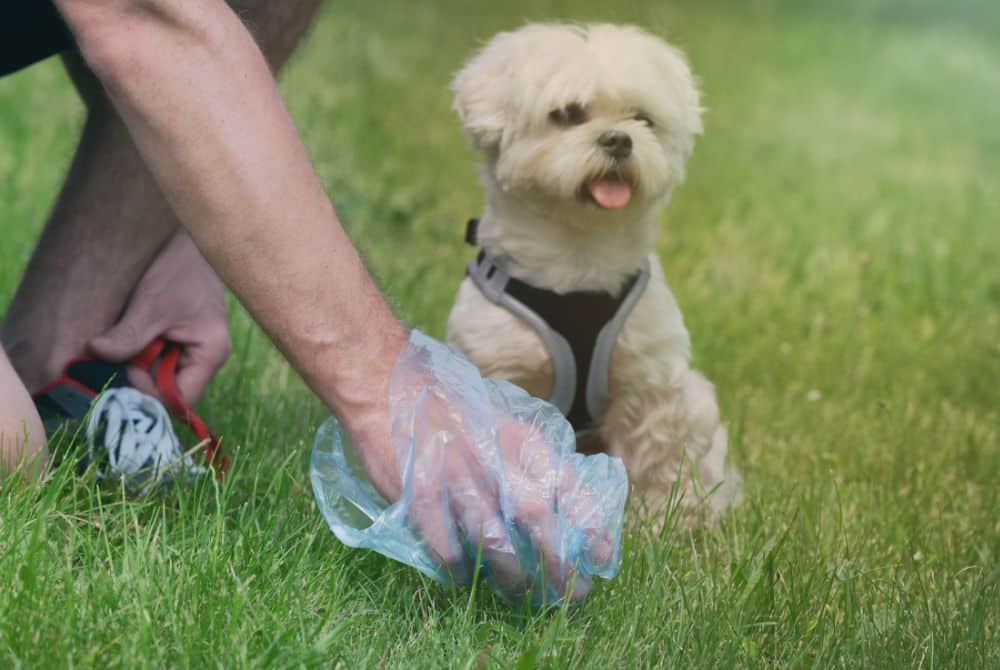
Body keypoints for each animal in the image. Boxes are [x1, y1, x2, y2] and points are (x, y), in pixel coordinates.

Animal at [446, 23, 744, 524]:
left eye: (642, 119)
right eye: (567, 113)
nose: (619, 139)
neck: (579, 259)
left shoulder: (647, 381)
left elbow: (654, 453)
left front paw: (657, 518)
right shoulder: (503, 375)